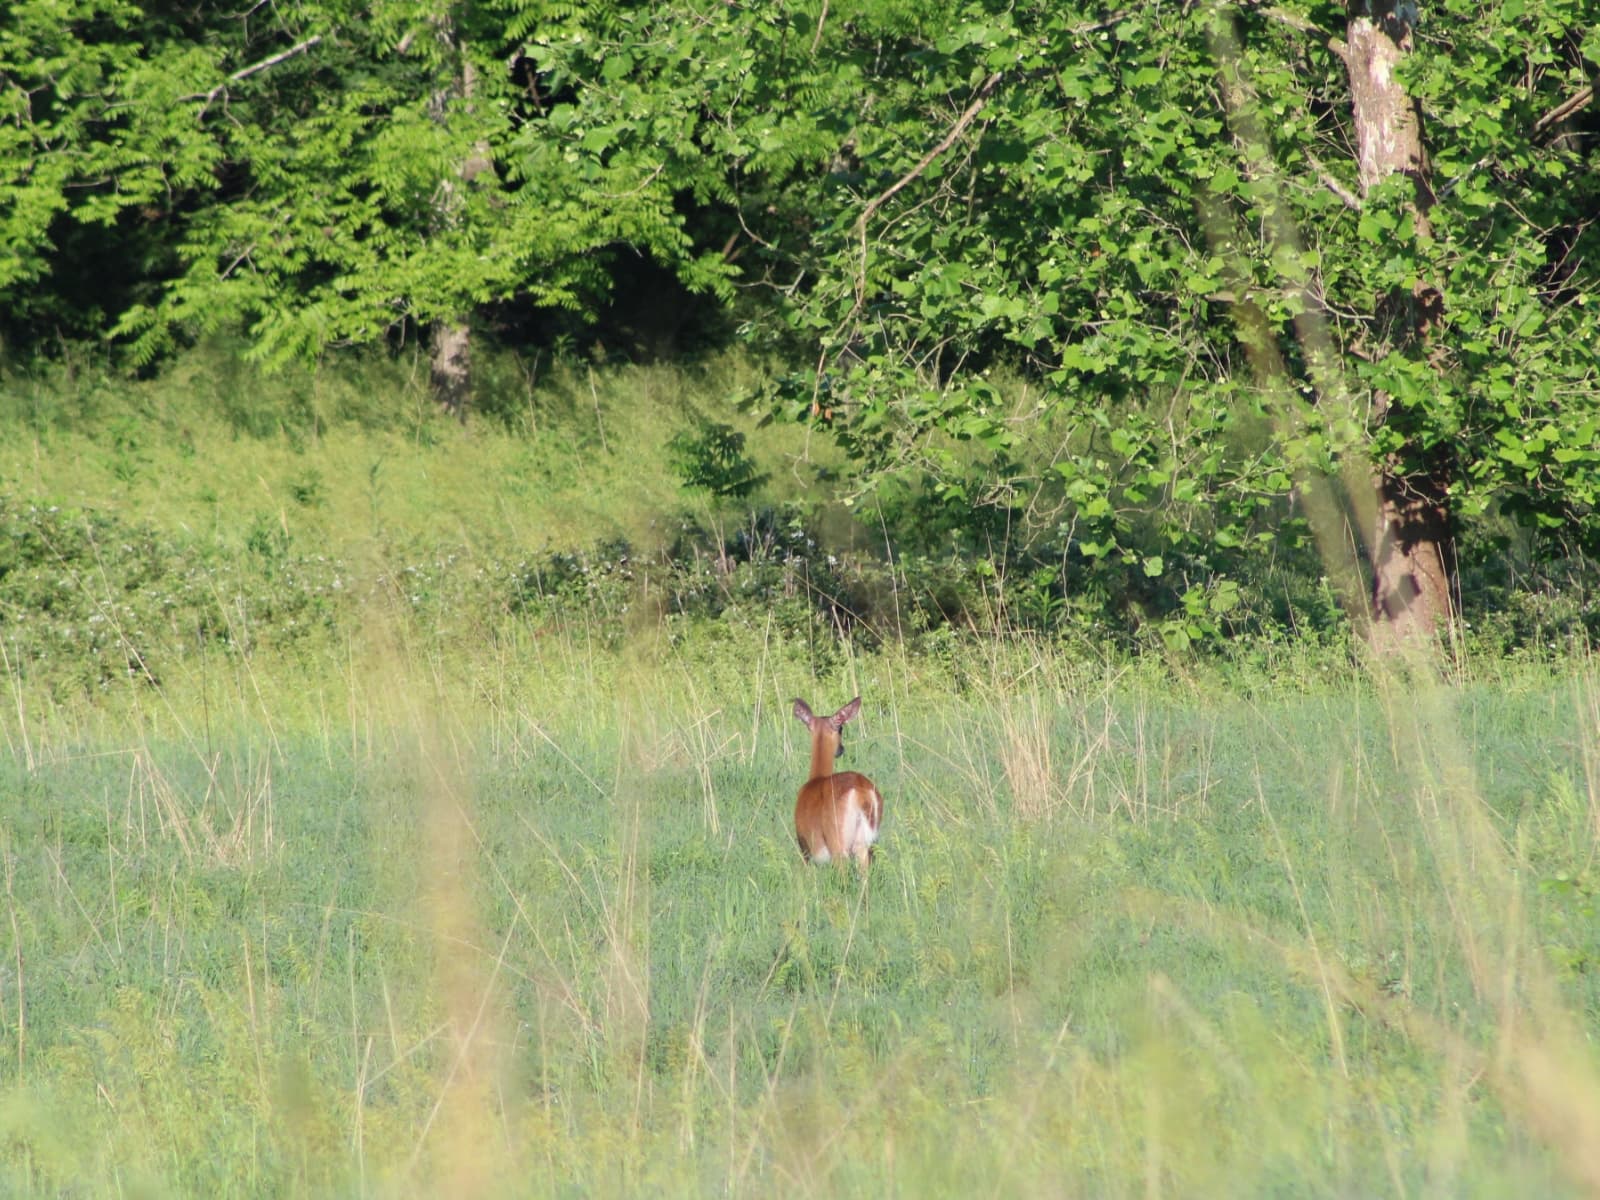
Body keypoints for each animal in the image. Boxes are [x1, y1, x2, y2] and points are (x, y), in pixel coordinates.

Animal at [791, 697, 883, 869]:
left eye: (841, 728)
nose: (841, 749)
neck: (816, 778)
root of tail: (861, 793)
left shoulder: (805, 848)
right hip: (865, 843)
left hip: (838, 843)